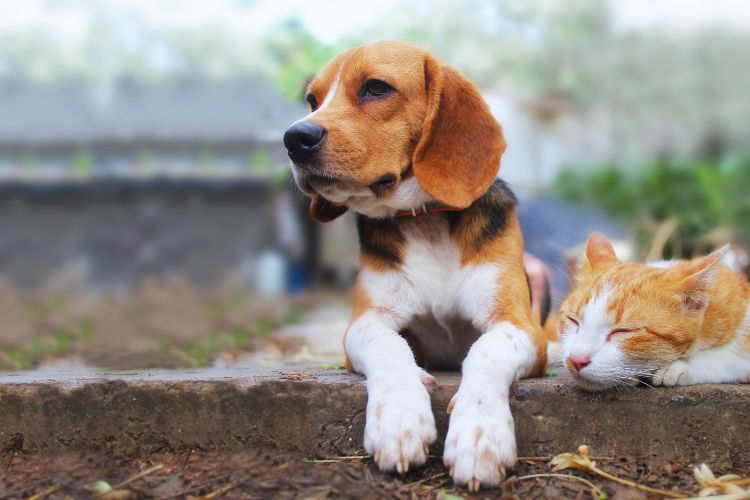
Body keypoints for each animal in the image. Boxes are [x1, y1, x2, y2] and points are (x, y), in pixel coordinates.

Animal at [284, 41, 548, 490]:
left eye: (376, 87)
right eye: (312, 101)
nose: (294, 138)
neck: (424, 219)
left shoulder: (521, 326)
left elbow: (487, 350)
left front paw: (479, 434)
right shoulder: (365, 322)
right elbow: (389, 347)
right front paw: (399, 418)